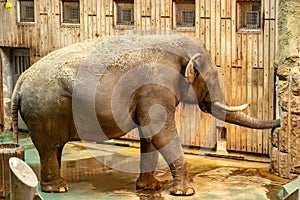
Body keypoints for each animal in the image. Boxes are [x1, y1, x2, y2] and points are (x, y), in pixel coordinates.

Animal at [11, 33, 278, 197]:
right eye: (212, 77)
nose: (279, 122)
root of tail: (20, 81)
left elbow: (149, 135)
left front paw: (149, 188)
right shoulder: (156, 87)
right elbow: (160, 133)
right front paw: (184, 193)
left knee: (54, 148)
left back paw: (55, 186)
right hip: (44, 110)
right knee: (50, 146)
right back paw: (58, 190)